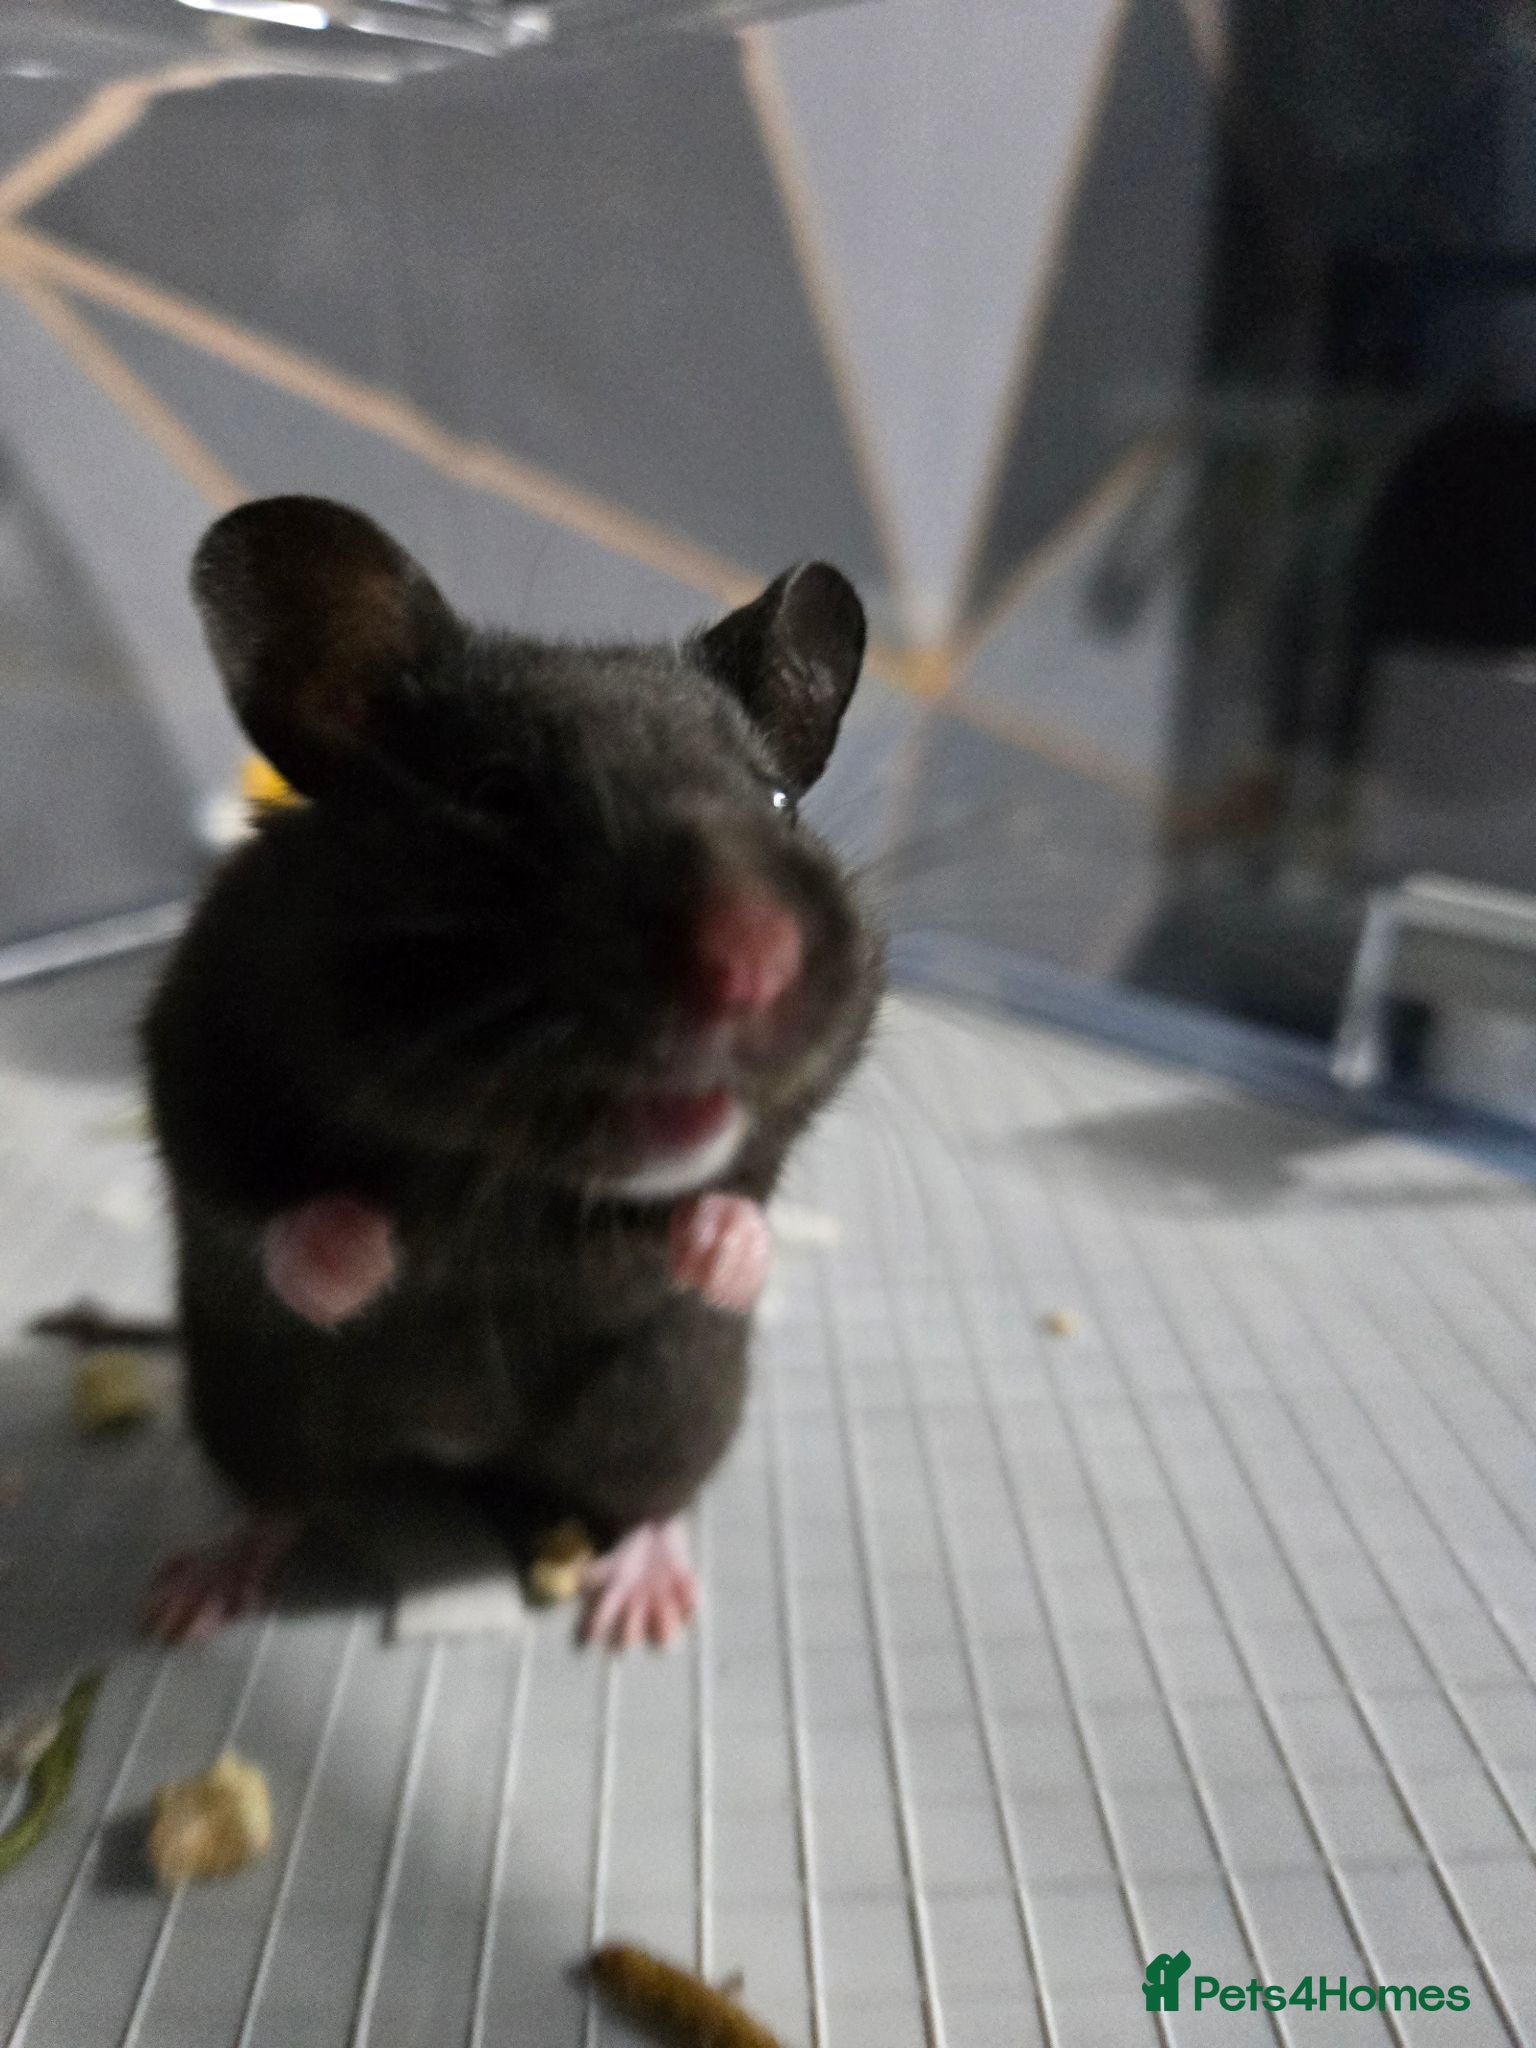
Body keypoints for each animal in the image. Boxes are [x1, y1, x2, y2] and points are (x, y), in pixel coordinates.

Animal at [141, 496, 883, 1647]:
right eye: (497, 795)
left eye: (775, 803)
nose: (752, 963)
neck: (512, 1177)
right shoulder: (193, 1049)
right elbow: (259, 1213)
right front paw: (368, 1252)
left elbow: (745, 1203)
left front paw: (716, 1245)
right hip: (255, 1406)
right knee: (280, 1494)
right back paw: (191, 1597)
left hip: (666, 1409)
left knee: (649, 1496)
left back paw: (641, 1612)